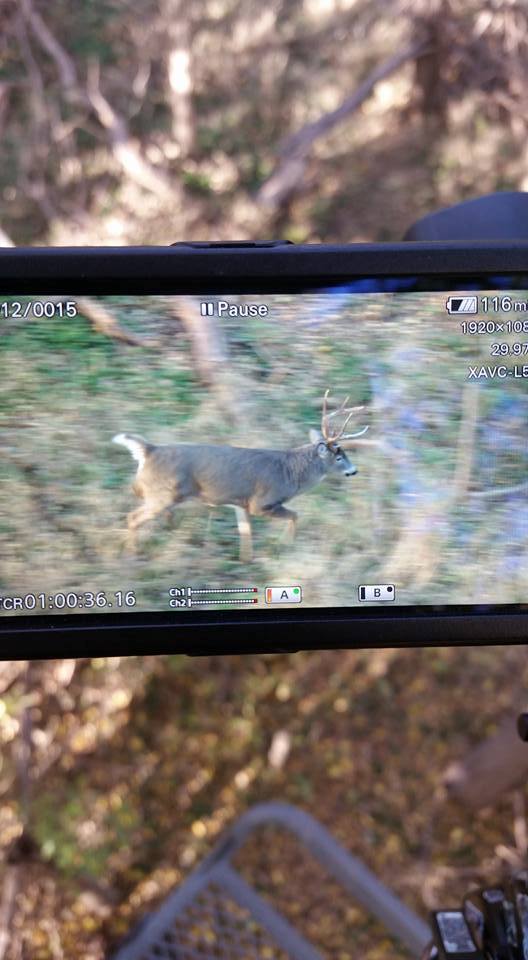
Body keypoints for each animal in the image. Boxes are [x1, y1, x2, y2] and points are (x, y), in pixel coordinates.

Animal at [112, 392, 368, 560]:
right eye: (339, 457)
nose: (354, 470)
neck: (291, 473)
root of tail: (149, 450)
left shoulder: (240, 502)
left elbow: (245, 532)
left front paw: (247, 560)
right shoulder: (261, 502)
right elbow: (295, 516)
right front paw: (285, 545)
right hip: (162, 495)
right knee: (133, 517)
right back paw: (131, 554)